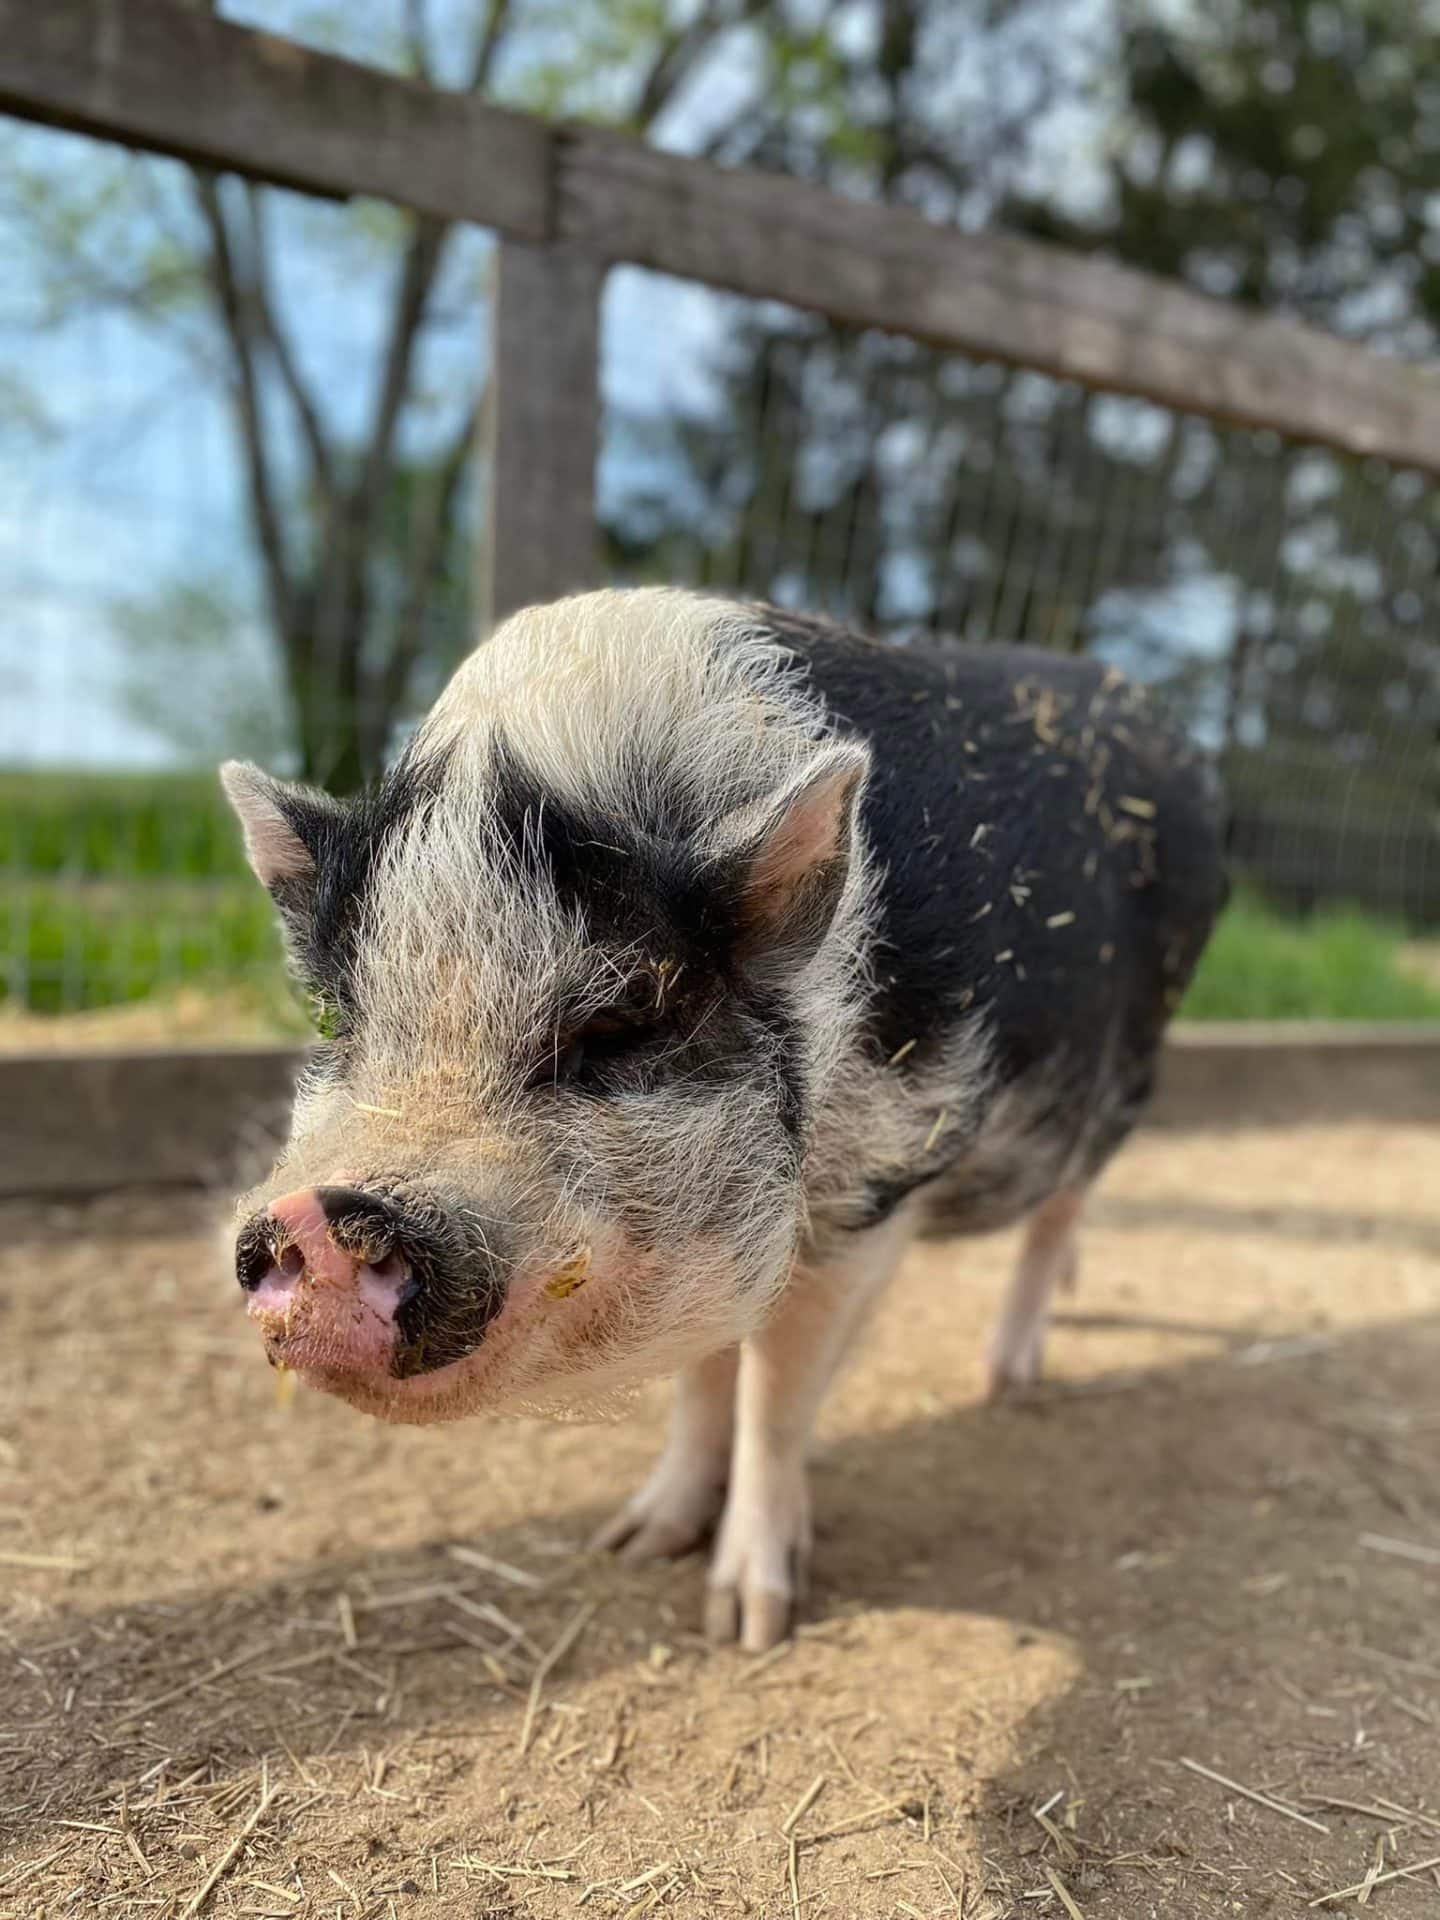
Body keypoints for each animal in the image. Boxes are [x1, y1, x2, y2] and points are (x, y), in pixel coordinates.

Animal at [225, 583, 1228, 1651]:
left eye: (618, 1024)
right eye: (337, 1016)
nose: (326, 1215)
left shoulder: (872, 1185)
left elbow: (775, 1393)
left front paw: (748, 1624)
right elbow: (705, 1380)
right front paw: (635, 1544)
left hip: (1130, 1066)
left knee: (1064, 1205)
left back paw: (1008, 1381)